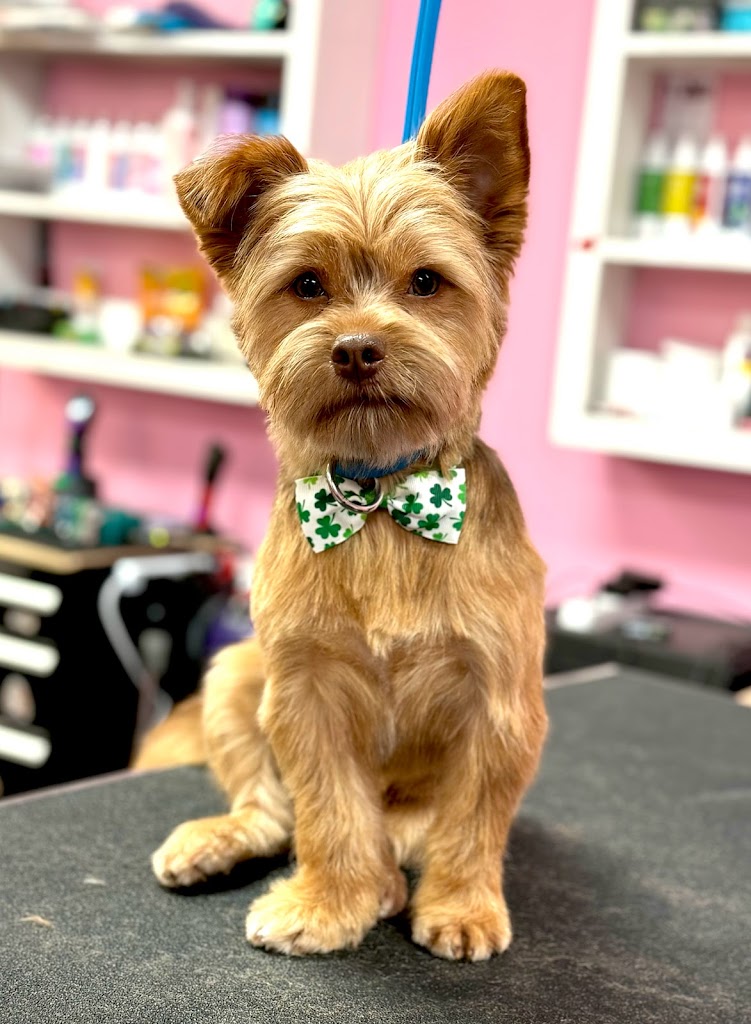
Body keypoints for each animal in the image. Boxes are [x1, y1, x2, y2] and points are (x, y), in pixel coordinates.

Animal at [136, 70, 548, 962]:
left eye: (425, 282)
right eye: (307, 286)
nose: (357, 347)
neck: (381, 500)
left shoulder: (498, 701)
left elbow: (473, 821)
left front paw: (462, 907)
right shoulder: (304, 690)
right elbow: (327, 811)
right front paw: (329, 903)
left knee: (411, 837)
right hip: (235, 675)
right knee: (268, 811)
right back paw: (221, 842)